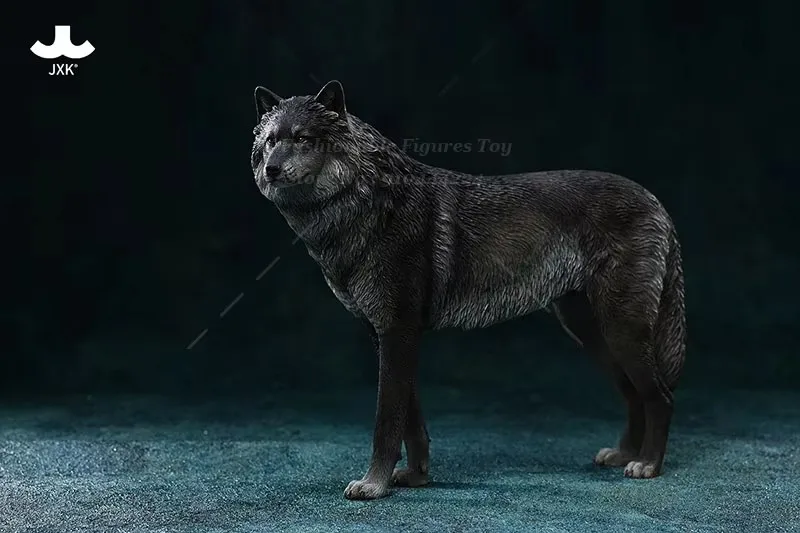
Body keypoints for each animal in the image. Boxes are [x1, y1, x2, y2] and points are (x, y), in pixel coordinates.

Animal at [250, 80, 687, 500]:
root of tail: (655, 201)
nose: (271, 170)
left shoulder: (398, 333)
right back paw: (624, 454)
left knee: (660, 396)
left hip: (620, 330)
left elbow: (387, 422)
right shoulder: (385, 336)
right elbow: (412, 421)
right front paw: (415, 477)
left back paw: (647, 465)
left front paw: (374, 486)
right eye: (271, 140)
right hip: (592, 334)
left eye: (303, 138)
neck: (368, 204)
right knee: (633, 393)